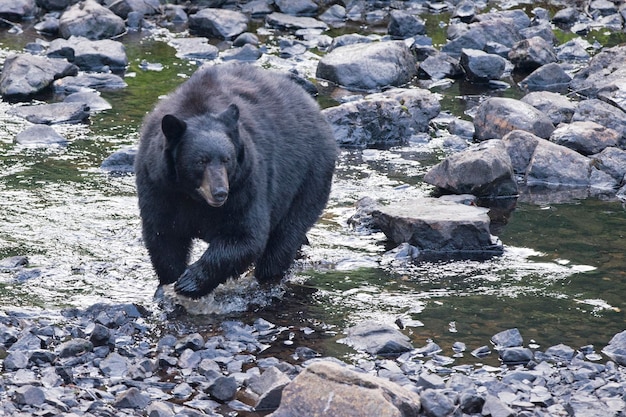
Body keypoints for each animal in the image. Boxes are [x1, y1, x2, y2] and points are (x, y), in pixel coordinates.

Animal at [133, 61, 336, 298]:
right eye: (200, 161)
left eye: (226, 159)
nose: (220, 193)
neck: (194, 197)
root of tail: (314, 108)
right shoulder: (159, 185)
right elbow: (164, 234)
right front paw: (170, 282)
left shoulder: (246, 184)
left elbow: (245, 234)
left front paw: (189, 282)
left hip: (310, 176)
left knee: (285, 236)